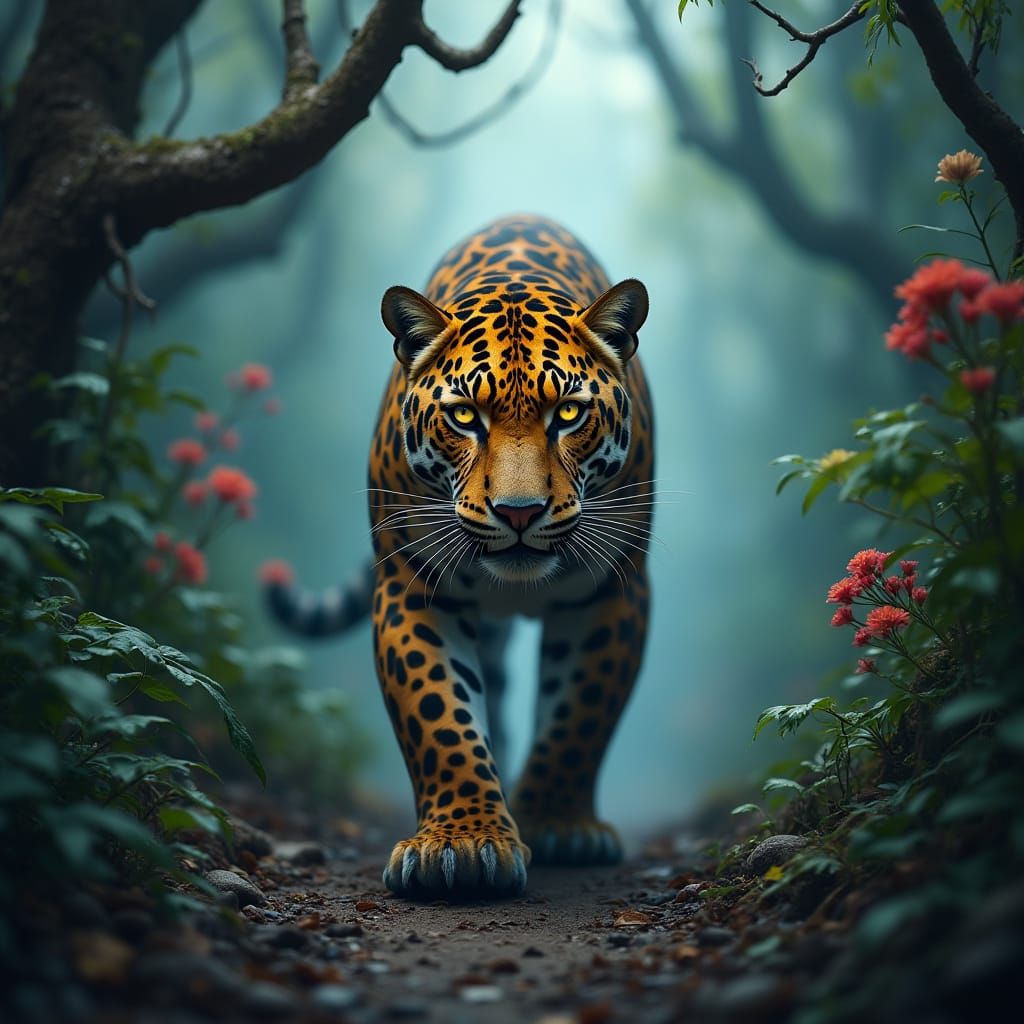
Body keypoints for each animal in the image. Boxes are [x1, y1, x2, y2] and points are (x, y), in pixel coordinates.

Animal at [265, 215, 654, 897]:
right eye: (465, 416)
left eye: (569, 413)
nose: (520, 512)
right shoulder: (414, 586)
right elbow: (438, 713)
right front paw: (464, 842)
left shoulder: (615, 588)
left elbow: (580, 712)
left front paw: (559, 824)